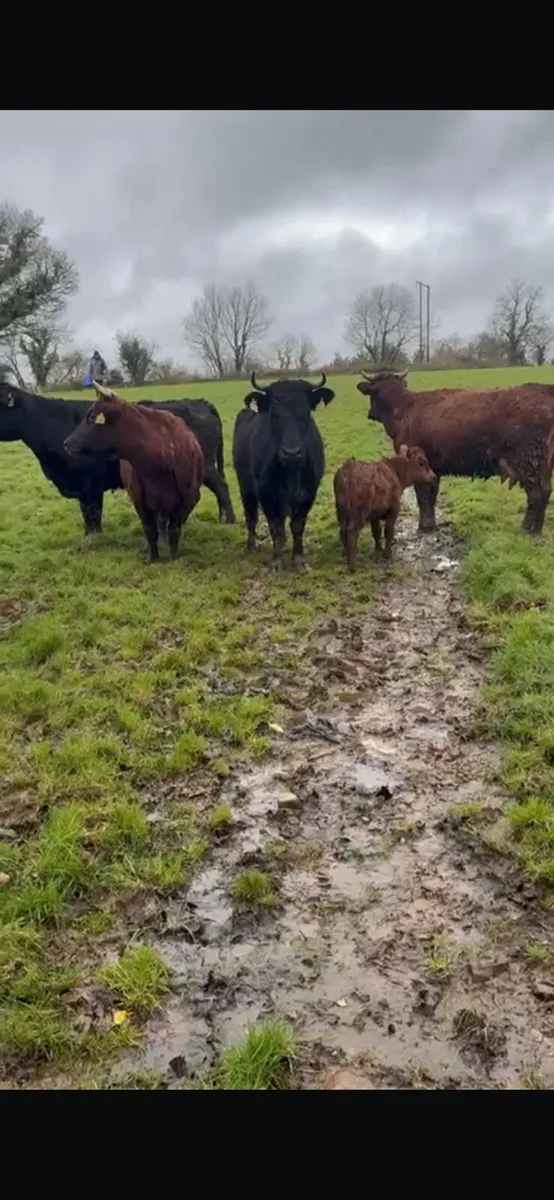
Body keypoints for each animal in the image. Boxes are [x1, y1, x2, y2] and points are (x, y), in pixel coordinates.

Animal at [0, 381, 234, 535]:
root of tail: (200, 402)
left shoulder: (90, 482)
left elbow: (93, 511)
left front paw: (94, 538)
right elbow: (86, 512)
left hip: (205, 467)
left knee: (221, 487)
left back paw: (228, 520)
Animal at [63, 383, 204, 562]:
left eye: (92, 416)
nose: (67, 443)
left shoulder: (187, 498)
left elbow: (174, 530)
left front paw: (173, 557)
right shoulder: (139, 500)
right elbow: (150, 530)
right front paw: (153, 558)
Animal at [232, 372, 335, 570]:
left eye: (306, 413)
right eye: (274, 414)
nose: (292, 452)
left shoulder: (309, 494)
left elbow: (297, 526)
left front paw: (299, 558)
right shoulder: (267, 495)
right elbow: (276, 527)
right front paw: (276, 560)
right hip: (245, 487)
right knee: (251, 517)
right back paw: (251, 546)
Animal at [357, 370, 554, 535]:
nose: (369, 413)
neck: (405, 409)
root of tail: (545, 390)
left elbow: (422, 497)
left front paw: (423, 527)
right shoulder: (433, 469)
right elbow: (431, 497)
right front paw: (431, 525)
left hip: (528, 463)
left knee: (536, 494)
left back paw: (526, 529)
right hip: (543, 465)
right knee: (546, 491)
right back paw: (537, 530)